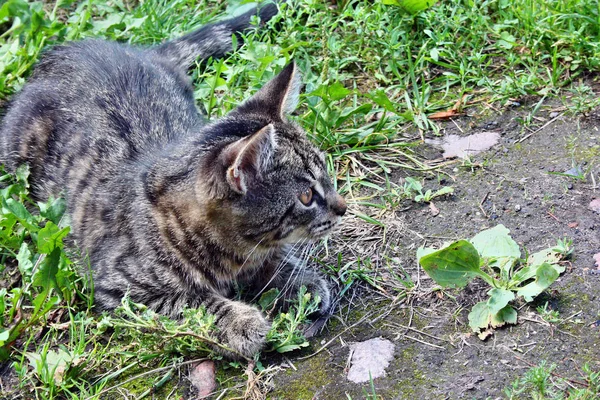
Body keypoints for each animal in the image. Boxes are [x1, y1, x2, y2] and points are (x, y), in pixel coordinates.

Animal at [0, 3, 346, 360]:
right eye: (307, 196)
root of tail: (75, 48)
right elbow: (193, 302)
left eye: (326, 173)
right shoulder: (122, 288)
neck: (233, 256)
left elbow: (276, 262)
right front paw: (240, 322)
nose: (343, 207)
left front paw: (300, 282)